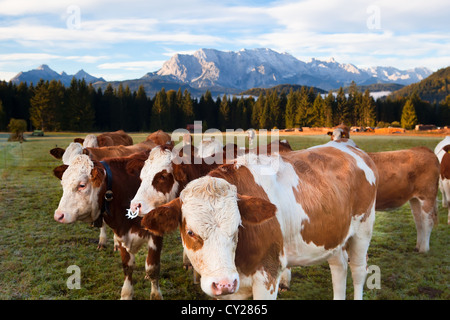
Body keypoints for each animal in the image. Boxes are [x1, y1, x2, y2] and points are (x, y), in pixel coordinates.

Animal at [52, 152, 163, 300]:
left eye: (82, 185)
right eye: (63, 184)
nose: (58, 215)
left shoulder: (156, 234)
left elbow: (152, 268)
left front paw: (156, 294)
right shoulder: (122, 234)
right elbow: (127, 267)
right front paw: (126, 294)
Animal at [139, 141, 378, 300]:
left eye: (237, 227)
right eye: (190, 232)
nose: (224, 283)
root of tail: (348, 146)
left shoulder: (268, 276)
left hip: (363, 231)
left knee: (357, 271)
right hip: (334, 237)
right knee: (339, 268)